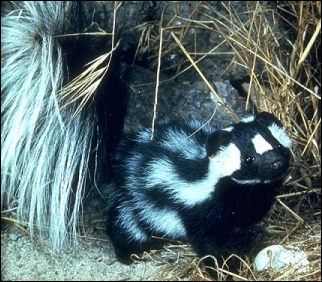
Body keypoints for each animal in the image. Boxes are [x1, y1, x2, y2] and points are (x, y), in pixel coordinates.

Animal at [107, 112, 292, 264]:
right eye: (248, 159)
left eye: (278, 146)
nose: (276, 163)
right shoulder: (198, 213)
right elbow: (208, 245)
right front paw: (223, 268)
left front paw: (248, 241)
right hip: (136, 202)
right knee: (128, 226)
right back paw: (128, 254)